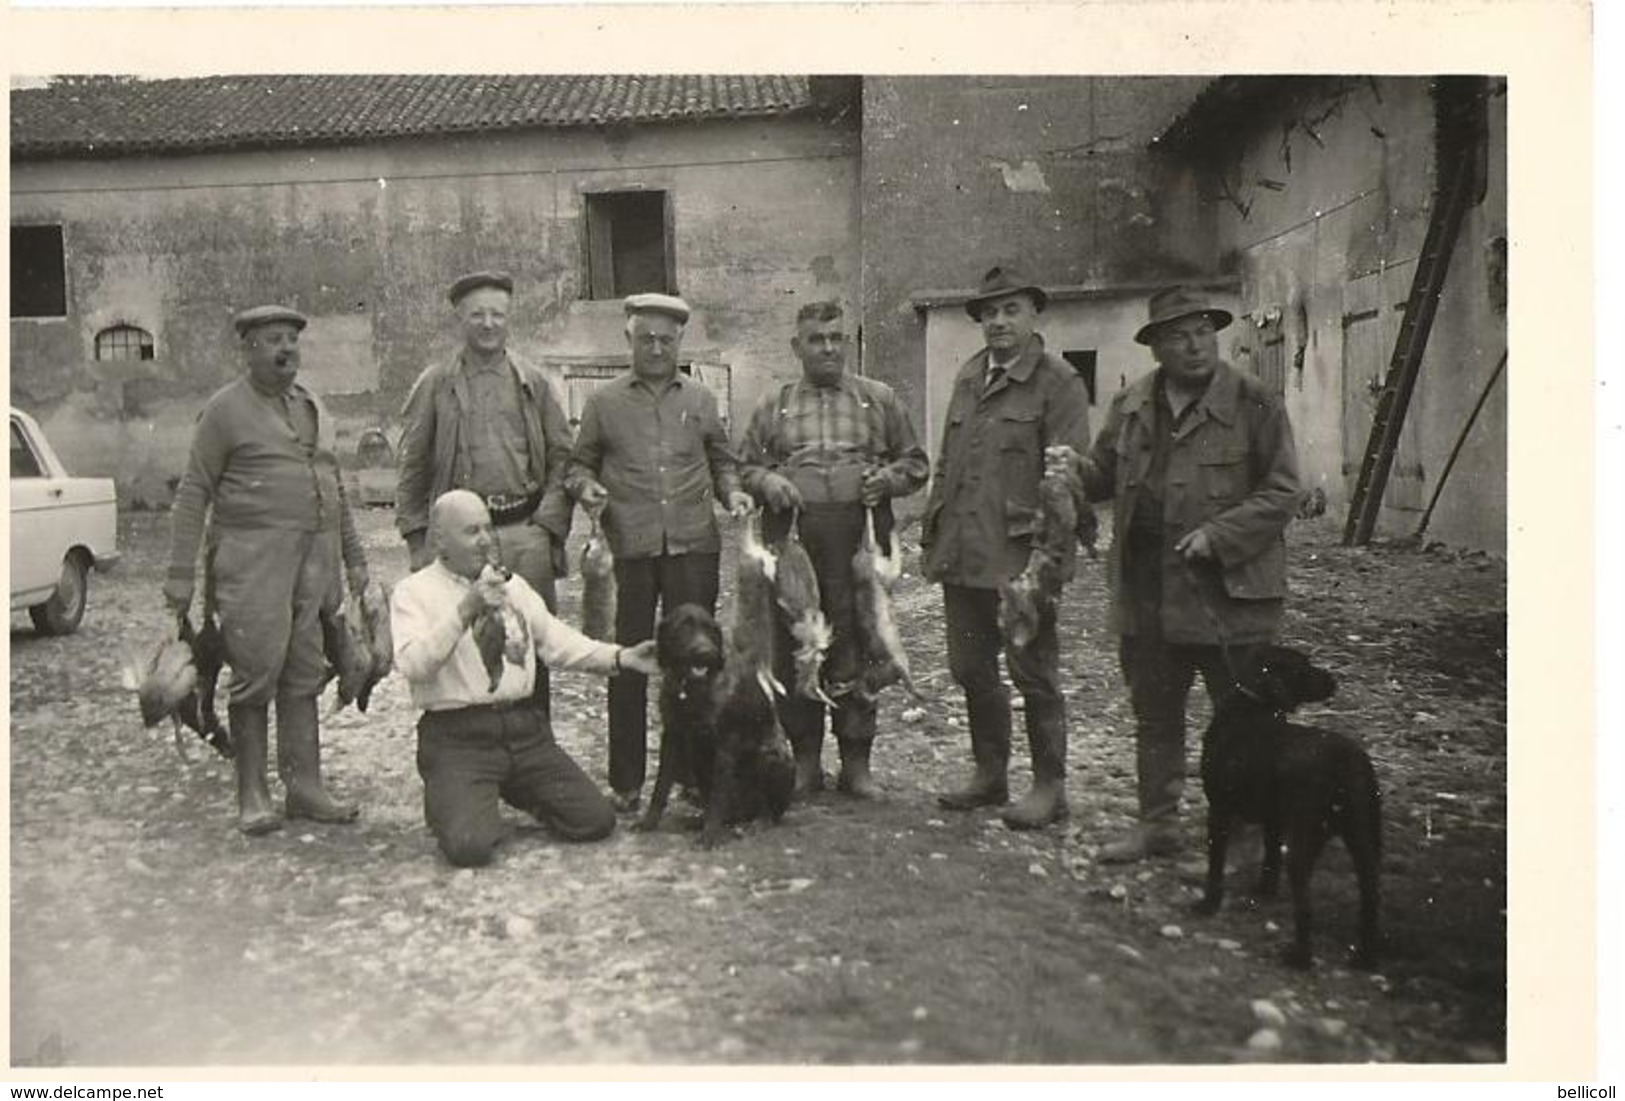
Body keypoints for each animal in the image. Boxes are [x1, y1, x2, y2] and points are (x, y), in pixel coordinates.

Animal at [633, 607, 793, 850]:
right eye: (683, 627)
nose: (705, 652)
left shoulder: (726, 743)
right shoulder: (672, 736)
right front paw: (649, 821)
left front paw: (710, 836)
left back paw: (758, 822)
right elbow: (660, 786)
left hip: (773, 758)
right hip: (697, 759)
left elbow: (718, 796)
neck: (691, 690)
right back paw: (700, 820)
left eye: (709, 629)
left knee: (772, 812)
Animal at [1196, 646, 1384, 974]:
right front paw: (1264, 891)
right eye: (1302, 668)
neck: (1253, 708)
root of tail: (1345, 760)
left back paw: (1299, 957)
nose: (1333, 680)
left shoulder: (1219, 810)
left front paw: (1209, 903)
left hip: (1302, 841)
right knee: (1370, 894)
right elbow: (1270, 858)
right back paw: (1364, 958)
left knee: (1306, 904)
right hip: (1361, 836)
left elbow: (1215, 866)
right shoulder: (1273, 820)